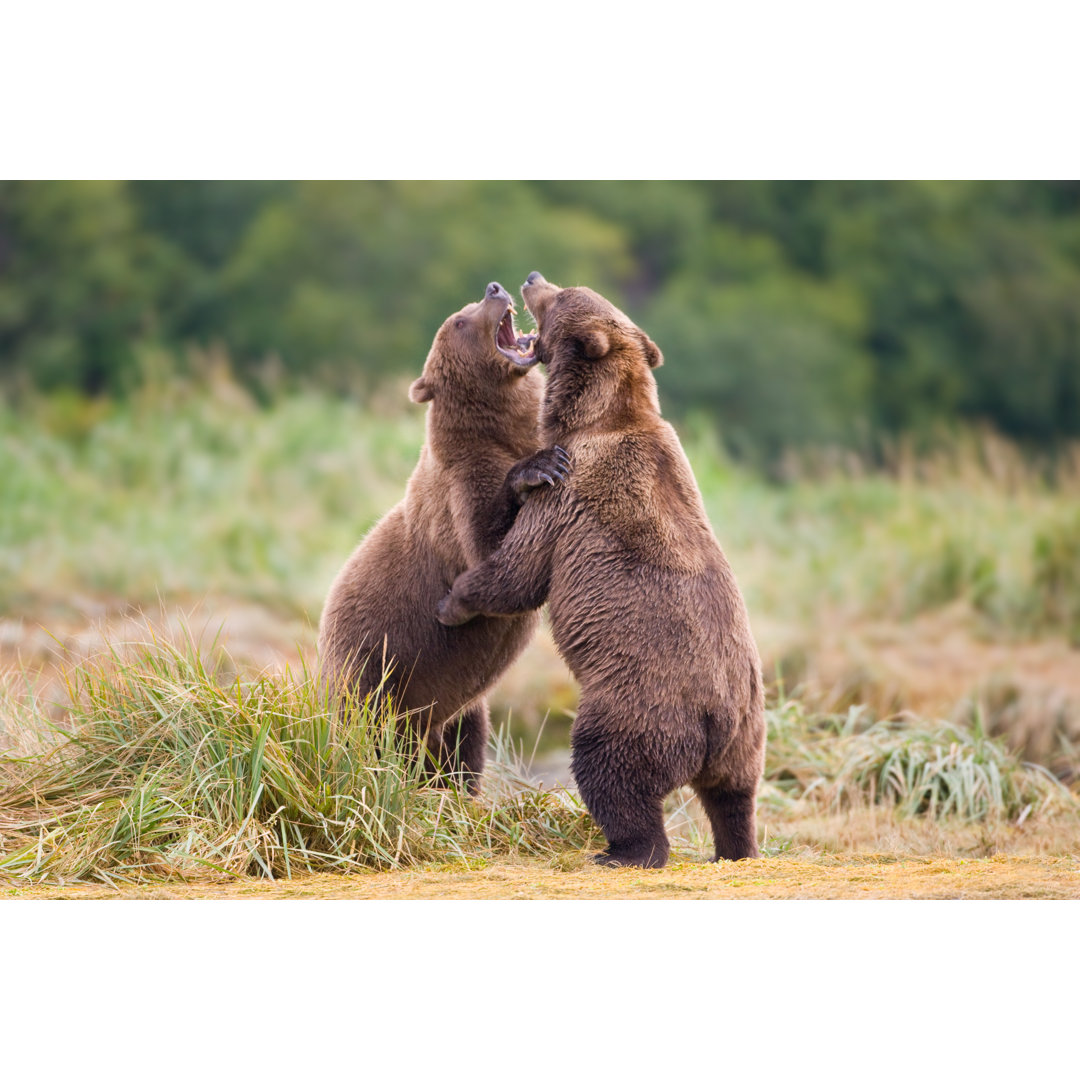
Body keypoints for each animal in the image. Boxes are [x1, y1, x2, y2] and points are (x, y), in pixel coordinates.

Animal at [317, 280, 570, 794]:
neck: (503, 430)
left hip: (459, 711)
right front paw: (537, 469)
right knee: (364, 731)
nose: (494, 287)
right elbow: (493, 554)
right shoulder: (459, 488)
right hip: (371, 670)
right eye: (459, 320)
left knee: (465, 741)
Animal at [438, 272, 768, 868]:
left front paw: (453, 600)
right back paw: (735, 850)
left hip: (636, 705)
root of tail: (716, 722)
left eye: (559, 296)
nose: (530, 278)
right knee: (734, 796)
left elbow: (517, 571)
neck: (597, 414)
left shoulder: (570, 493)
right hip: (748, 732)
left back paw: (623, 850)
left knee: (611, 771)